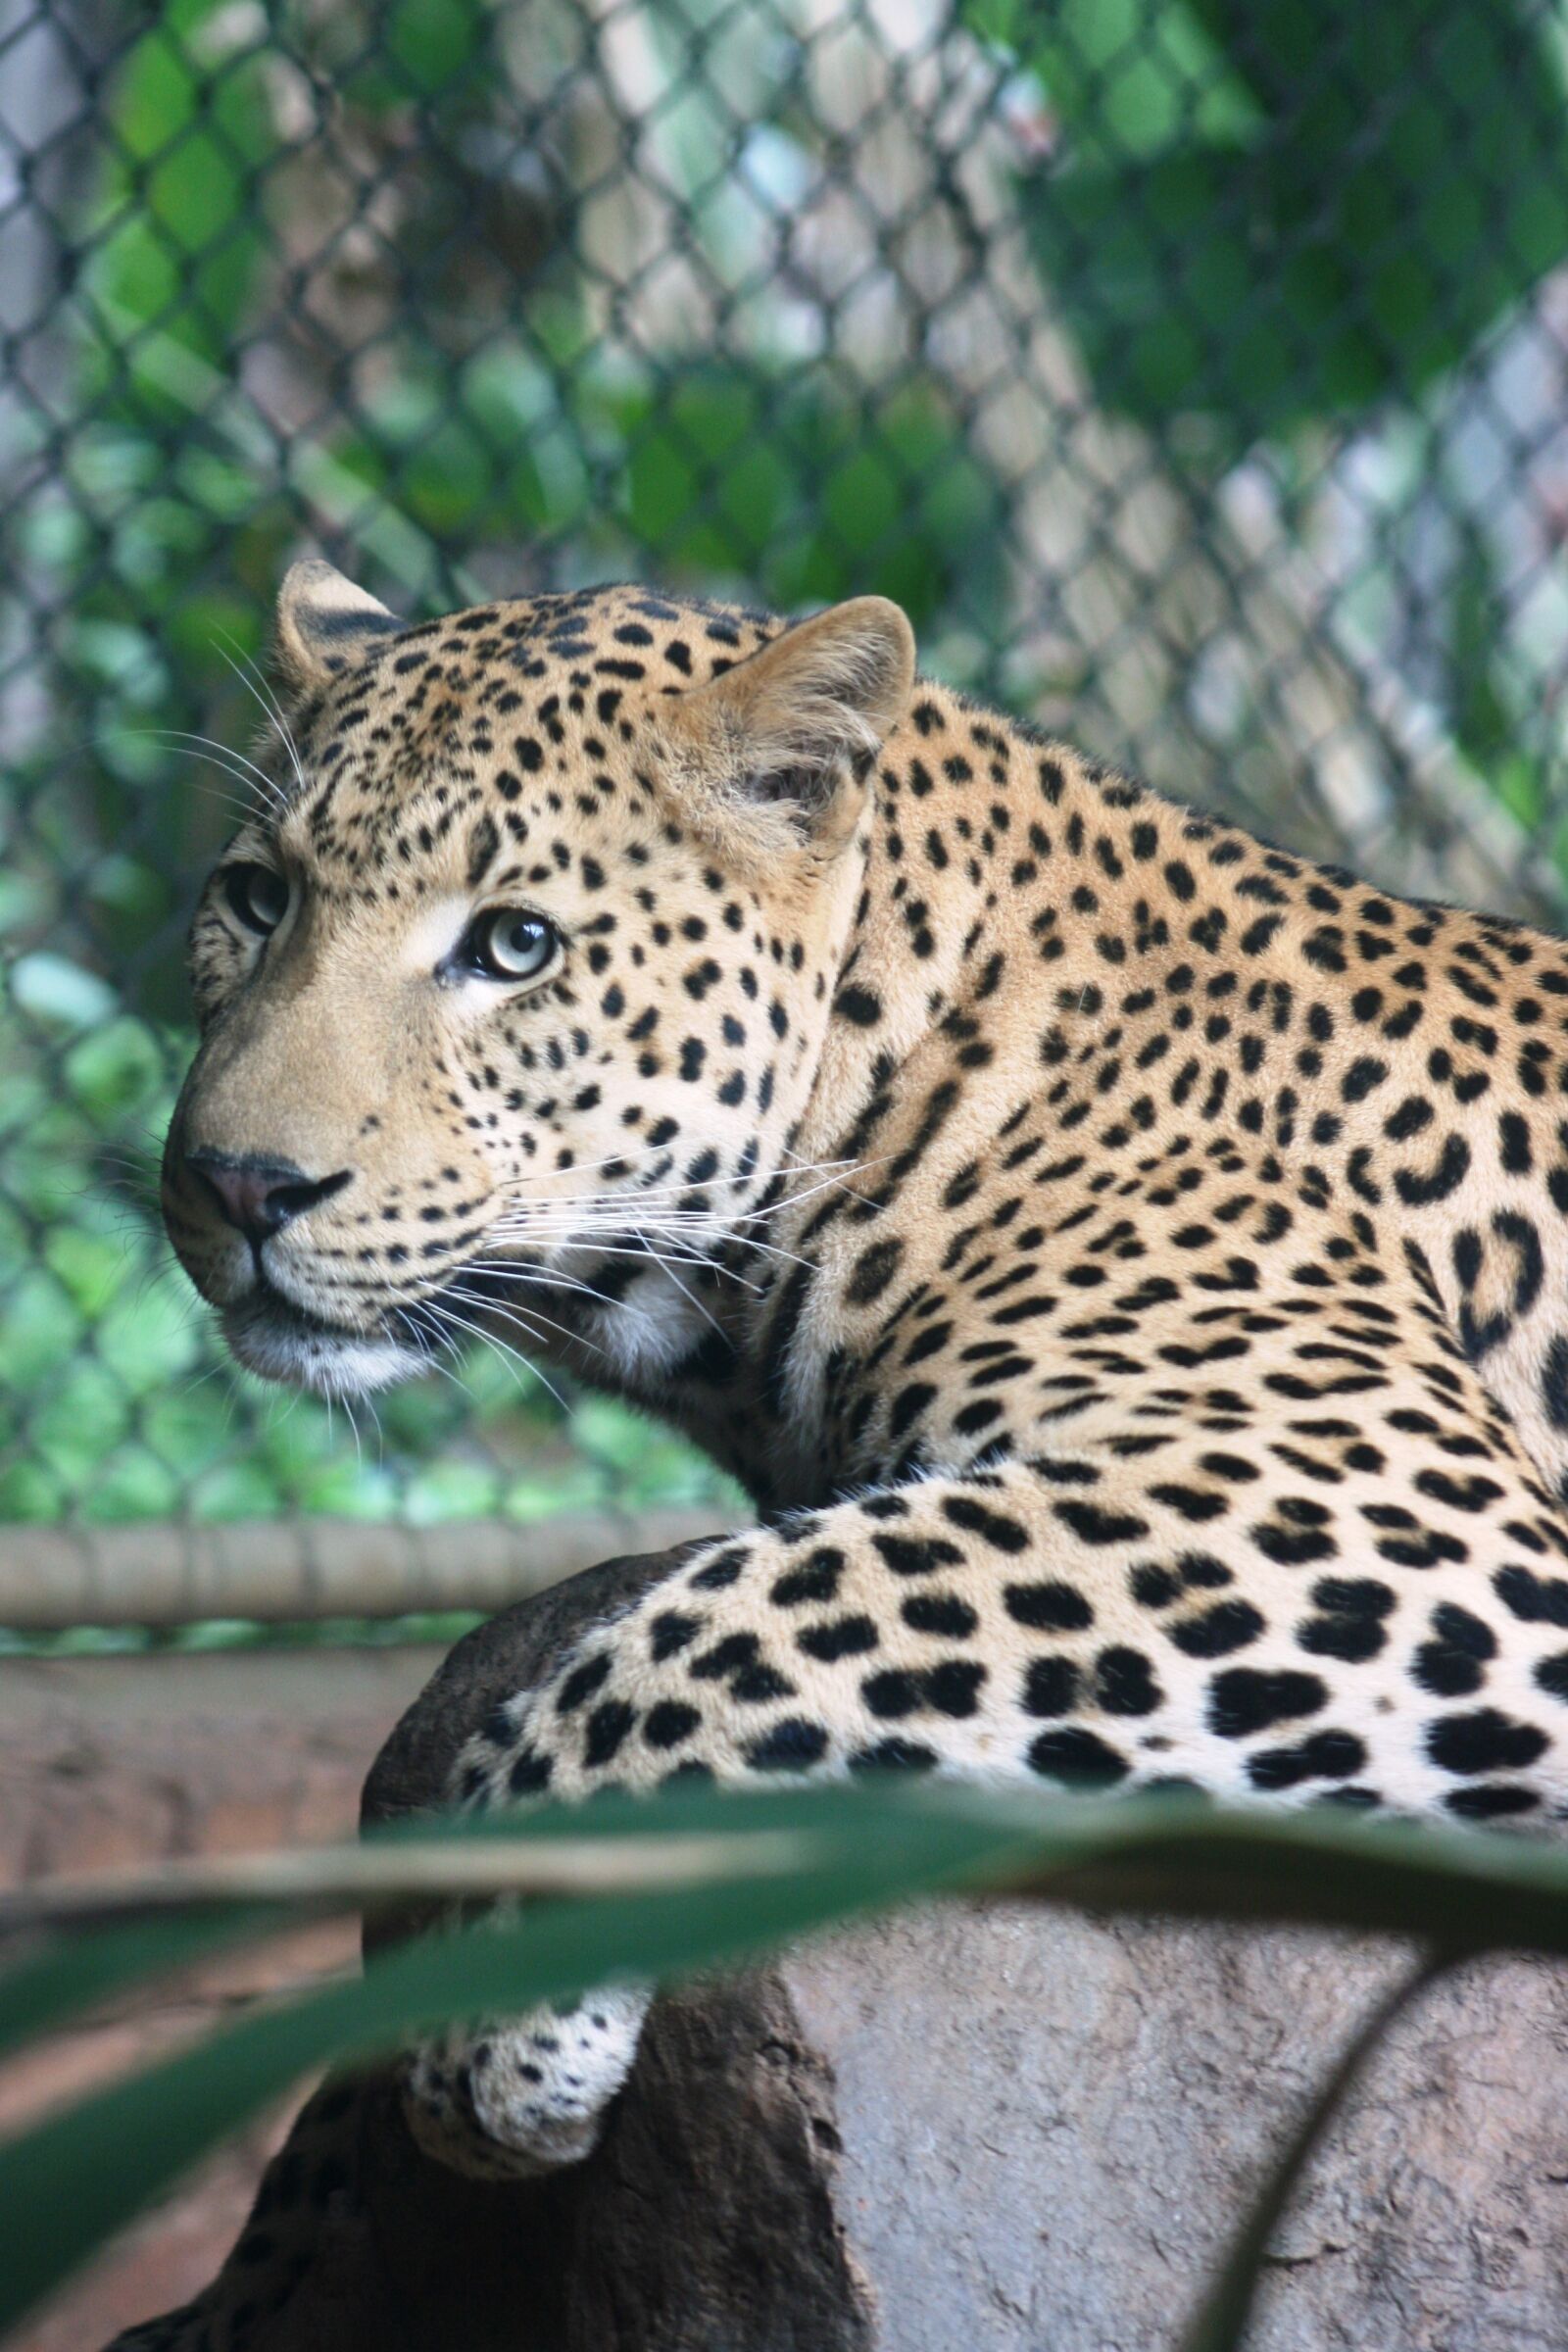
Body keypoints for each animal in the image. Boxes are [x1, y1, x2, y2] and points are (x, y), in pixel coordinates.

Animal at [115, 553, 1568, 2344]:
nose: (233, 1183)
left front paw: (497, 2007)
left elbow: (737, 1620)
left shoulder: (1369, 1493)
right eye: (258, 900)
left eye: (515, 945)